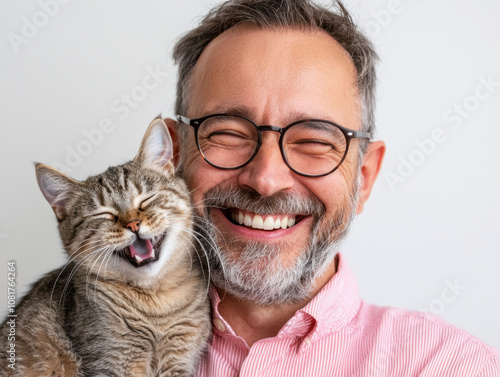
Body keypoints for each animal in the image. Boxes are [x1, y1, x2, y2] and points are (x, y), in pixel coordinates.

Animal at [0, 117, 211, 376]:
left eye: (146, 200)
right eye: (104, 214)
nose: (133, 224)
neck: (156, 302)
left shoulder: (178, 361)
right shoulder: (111, 361)